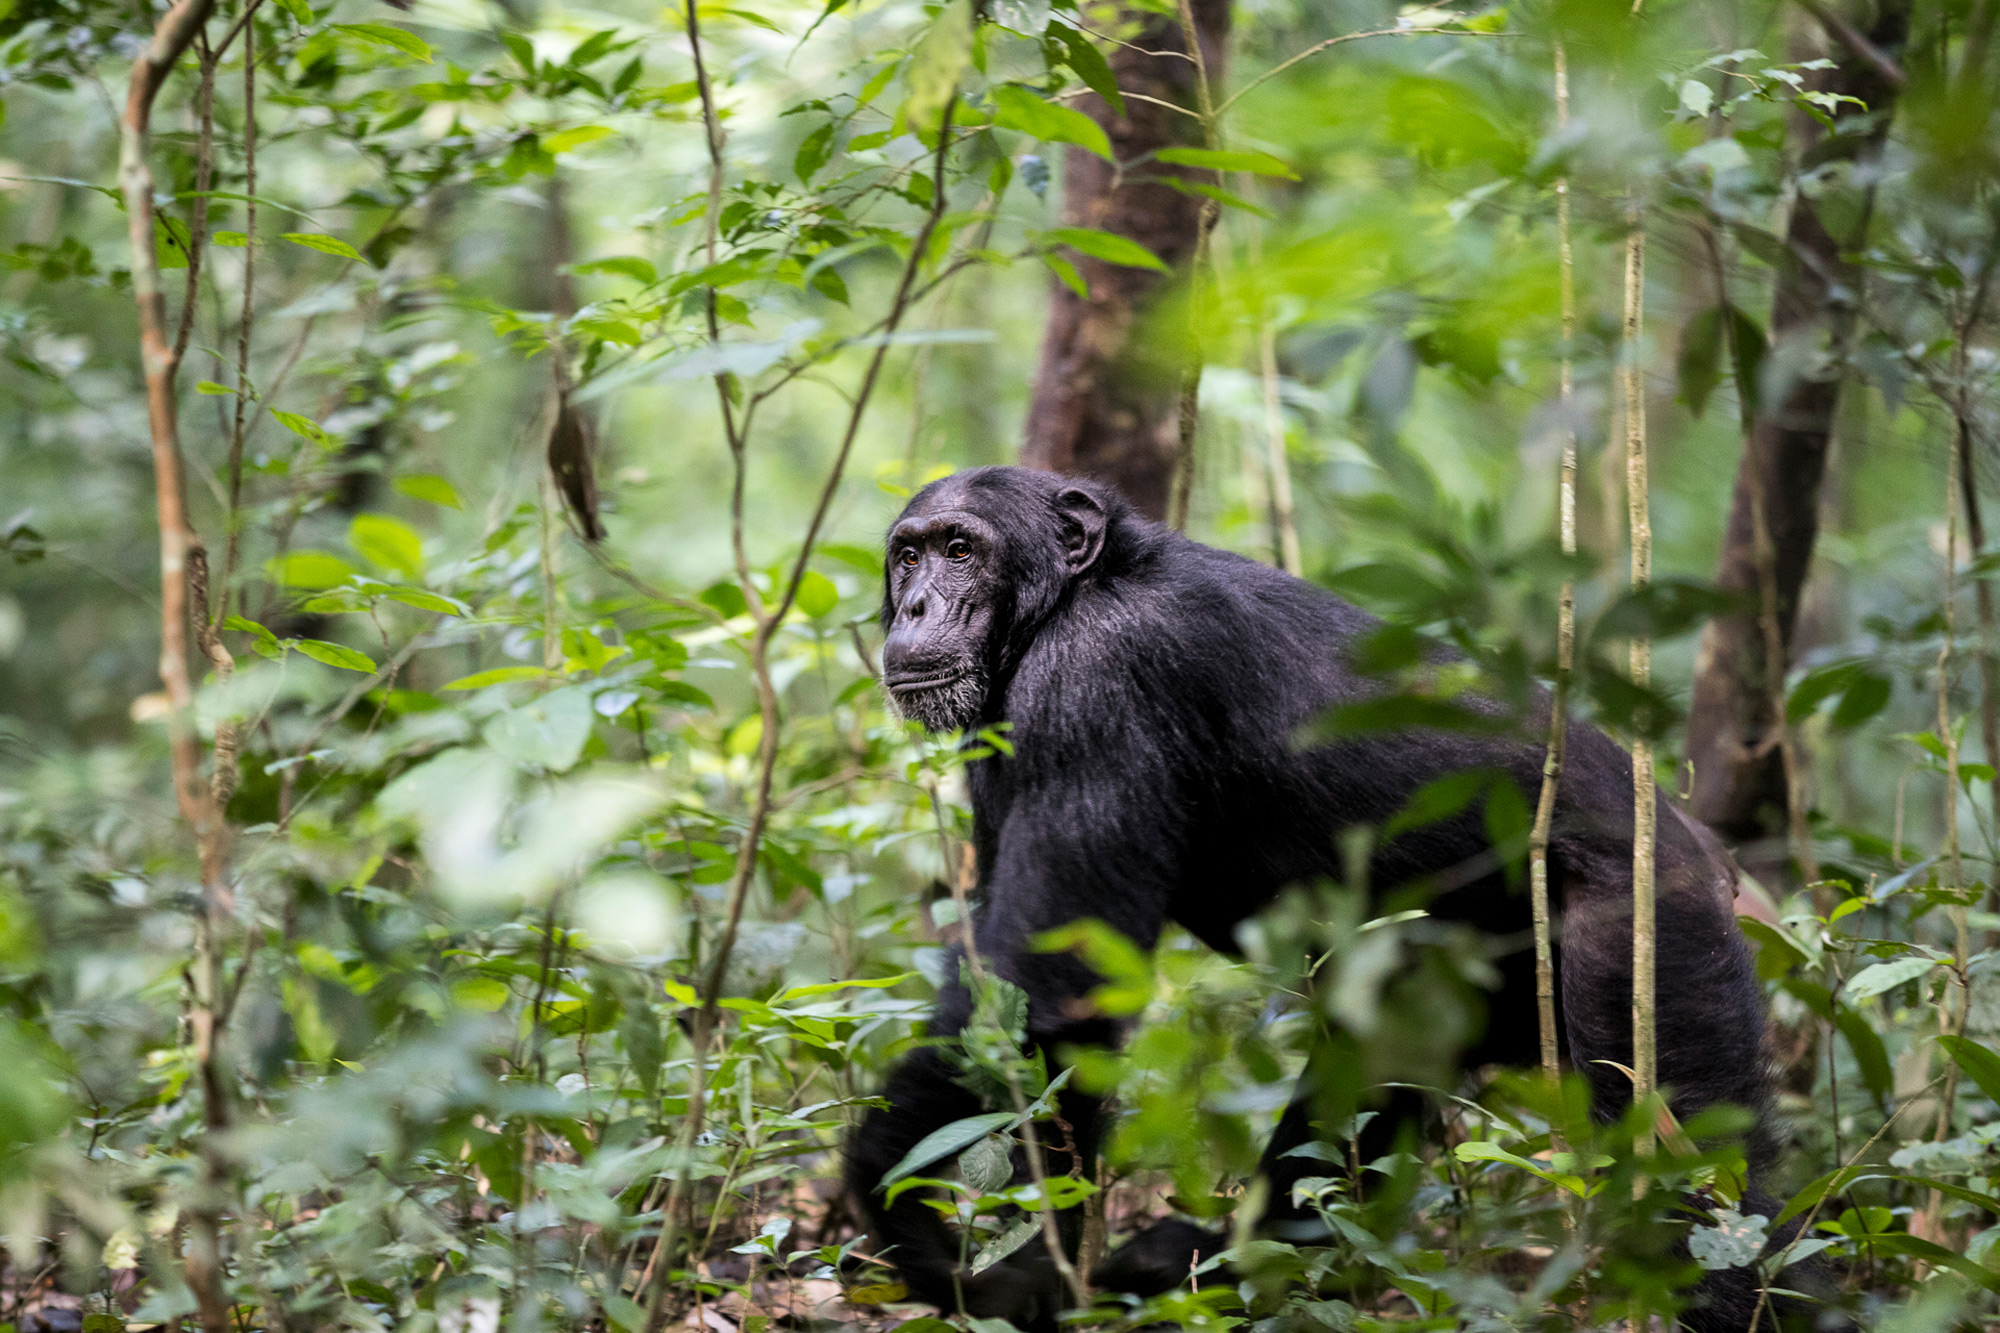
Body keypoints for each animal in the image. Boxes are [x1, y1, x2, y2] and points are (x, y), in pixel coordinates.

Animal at [852, 462, 1792, 1320]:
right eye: (908, 556)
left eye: (962, 550)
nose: (919, 606)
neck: (1074, 597)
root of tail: (1715, 863)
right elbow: (1054, 1028)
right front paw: (1038, 1270)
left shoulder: (1101, 674)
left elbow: (1052, 970)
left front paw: (896, 1193)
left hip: (1652, 939)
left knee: (1691, 1169)